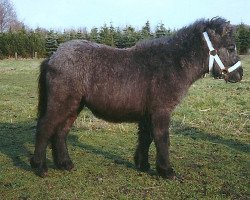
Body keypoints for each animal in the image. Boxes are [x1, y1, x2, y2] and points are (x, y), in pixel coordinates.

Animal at [29, 18, 242, 177]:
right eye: (231, 47)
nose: (240, 75)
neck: (172, 63)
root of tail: (53, 57)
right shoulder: (161, 111)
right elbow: (162, 138)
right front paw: (166, 171)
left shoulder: (148, 114)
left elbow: (146, 138)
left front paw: (143, 164)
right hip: (61, 104)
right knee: (45, 128)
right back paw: (39, 167)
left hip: (74, 106)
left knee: (60, 132)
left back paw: (64, 164)